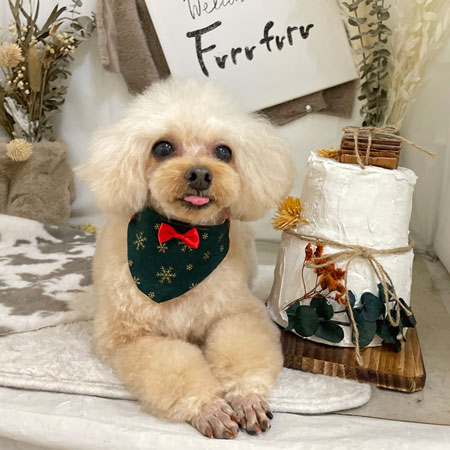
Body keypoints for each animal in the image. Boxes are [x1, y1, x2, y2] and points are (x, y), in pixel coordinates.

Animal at [79, 78, 296, 439]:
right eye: (163, 148)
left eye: (224, 151)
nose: (200, 175)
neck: (182, 241)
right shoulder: (131, 337)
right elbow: (175, 366)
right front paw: (209, 408)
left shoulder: (239, 313)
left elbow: (242, 349)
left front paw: (247, 398)